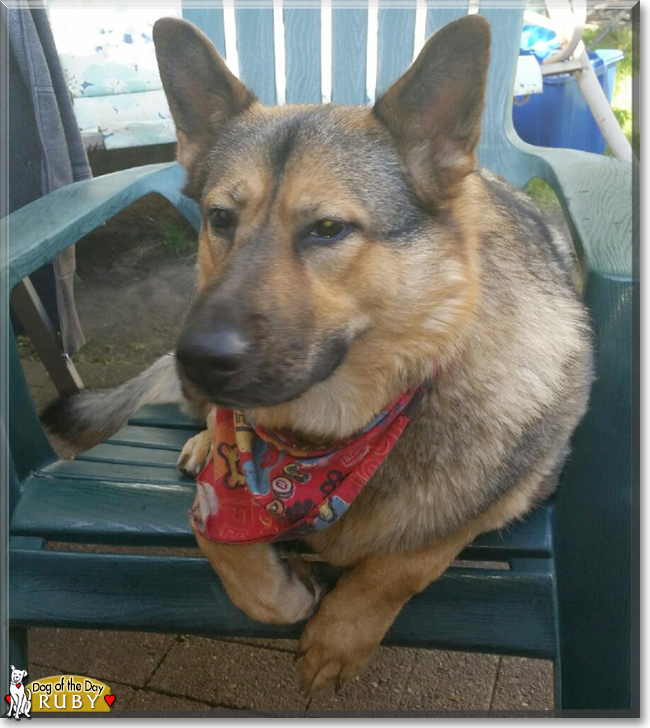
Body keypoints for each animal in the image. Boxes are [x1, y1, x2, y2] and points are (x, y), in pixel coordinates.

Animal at [43, 12, 592, 692]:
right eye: (220, 219)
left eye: (328, 229)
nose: (195, 361)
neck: (320, 445)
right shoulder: (224, 497)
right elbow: (229, 550)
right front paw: (285, 588)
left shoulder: (509, 500)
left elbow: (406, 562)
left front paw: (341, 634)